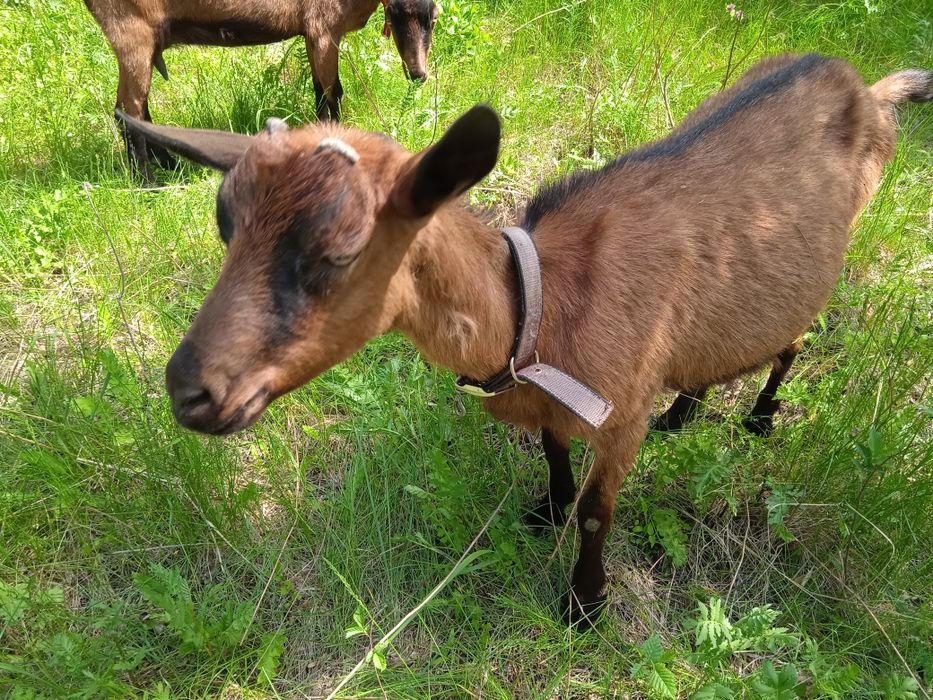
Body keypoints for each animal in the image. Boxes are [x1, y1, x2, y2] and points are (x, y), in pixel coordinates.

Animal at [84, 0, 437, 175]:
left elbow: (320, 92)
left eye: (433, 19)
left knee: (134, 107)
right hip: (130, 32)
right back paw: (148, 183)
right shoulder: (323, 28)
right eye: (396, 13)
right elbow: (332, 92)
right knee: (128, 108)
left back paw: (171, 166)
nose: (418, 73)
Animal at [119, 53, 932, 625]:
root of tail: (866, 86)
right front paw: (546, 509)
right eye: (225, 222)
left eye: (341, 249)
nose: (190, 392)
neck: (540, 309)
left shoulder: (623, 411)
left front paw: (584, 605)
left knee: (792, 340)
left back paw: (760, 417)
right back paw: (686, 410)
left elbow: (599, 510)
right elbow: (549, 448)